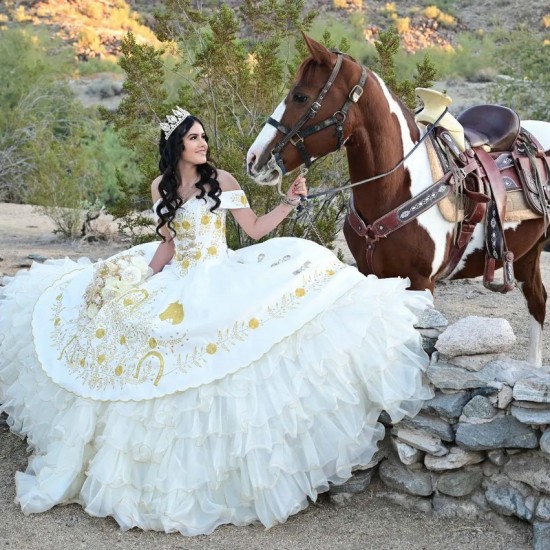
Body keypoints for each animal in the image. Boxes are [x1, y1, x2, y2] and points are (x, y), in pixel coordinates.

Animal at [248, 31, 550, 366]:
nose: (254, 159)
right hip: (528, 252)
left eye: (300, 96)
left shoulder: (421, 283)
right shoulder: (371, 273)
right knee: (537, 300)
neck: (395, 189)